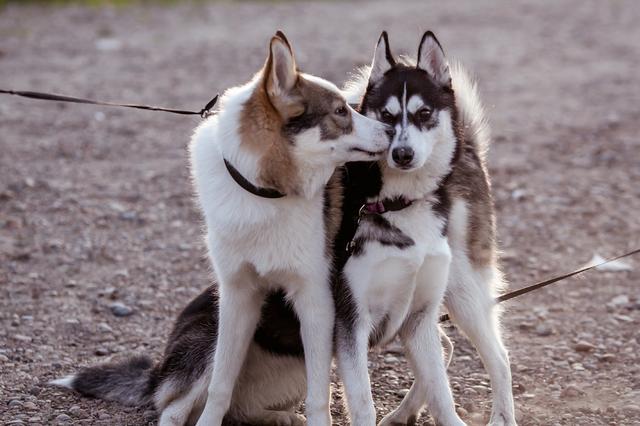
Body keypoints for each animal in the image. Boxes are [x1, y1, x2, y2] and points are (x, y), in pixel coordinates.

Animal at [336, 33, 516, 426]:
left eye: (423, 114)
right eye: (387, 117)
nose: (402, 154)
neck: (396, 202)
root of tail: (468, 148)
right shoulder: (351, 322)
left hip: (463, 292)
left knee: (498, 358)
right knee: (445, 348)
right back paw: (403, 413)